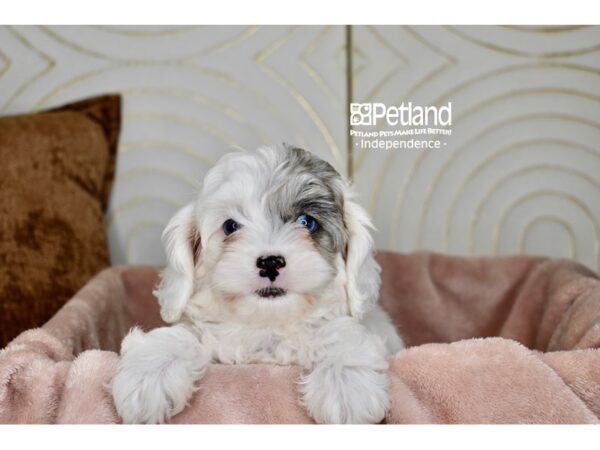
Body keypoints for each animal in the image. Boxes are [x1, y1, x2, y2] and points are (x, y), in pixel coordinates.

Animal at [110, 146, 406, 424]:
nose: (270, 262)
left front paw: (344, 384)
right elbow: (184, 334)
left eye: (307, 222)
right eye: (231, 226)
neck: (267, 326)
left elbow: (341, 333)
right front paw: (149, 371)